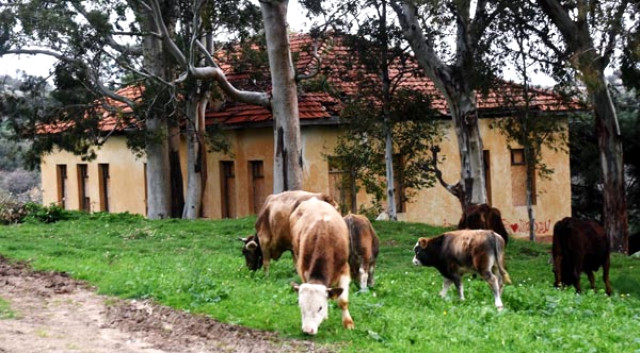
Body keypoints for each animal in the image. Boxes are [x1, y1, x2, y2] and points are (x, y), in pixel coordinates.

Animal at [292, 197, 356, 334]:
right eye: (301, 306)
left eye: (320, 308)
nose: (307, 330)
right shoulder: (304, 269)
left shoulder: (344, 269)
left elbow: (342, 301)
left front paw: (348, 323)